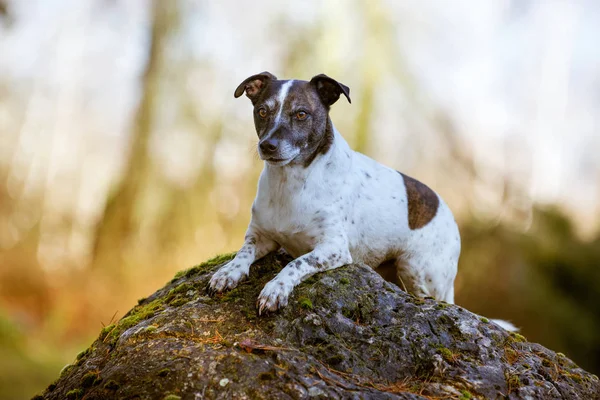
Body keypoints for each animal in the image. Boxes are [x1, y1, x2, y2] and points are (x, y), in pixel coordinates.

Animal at [207, 72, 516, 332]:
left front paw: (275, 289)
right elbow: (243, 254)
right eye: (262, 111)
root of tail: (447, 212)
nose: (267, 146)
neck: (291, 183)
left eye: (301, 114)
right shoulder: (260, 236)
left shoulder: (333, 249)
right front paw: (228, 272)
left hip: (416, 269)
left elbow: (297, 263)